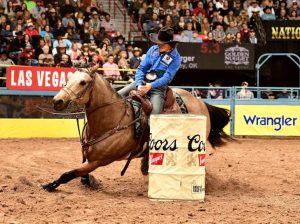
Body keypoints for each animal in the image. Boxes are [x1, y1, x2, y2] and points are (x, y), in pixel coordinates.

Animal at [41, 66, 230, 191]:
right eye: (68, 79)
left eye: (83, 82)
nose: (57, 101)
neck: (111, 120)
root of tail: (200, 102)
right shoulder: (88, 157)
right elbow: (80, 174)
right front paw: (87, 182)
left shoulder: (98, 161)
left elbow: (68, 174)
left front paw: (50, 185)